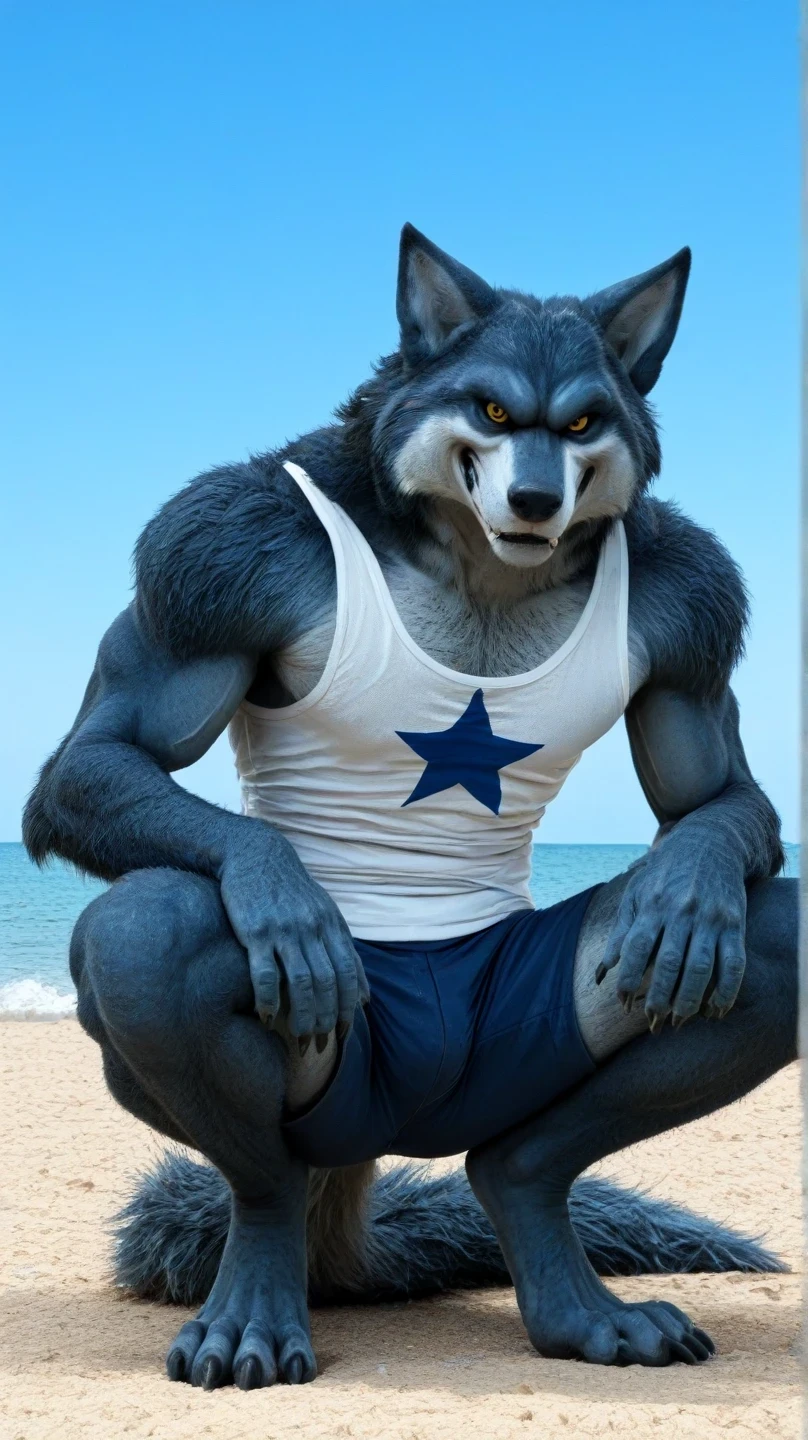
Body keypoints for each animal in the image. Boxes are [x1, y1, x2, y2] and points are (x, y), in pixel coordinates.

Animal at [24, 226, 796, 1390]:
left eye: (581, 423)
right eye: (489, 412)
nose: (536, 502)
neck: (475, 558)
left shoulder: (686, 602)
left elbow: (712, 801)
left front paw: (692, 883)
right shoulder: (224, 553)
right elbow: (105, 756)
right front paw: (277, 883)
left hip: (512, 1062)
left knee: (742, 956)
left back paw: (556, 1256)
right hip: (326, 1094)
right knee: (155, 936)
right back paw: (257, 1286)